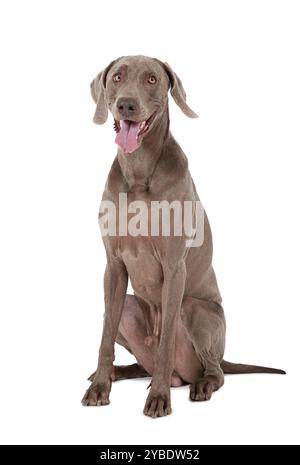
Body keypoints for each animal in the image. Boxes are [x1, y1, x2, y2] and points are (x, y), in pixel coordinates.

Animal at [81, 55, 284, 416]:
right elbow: (104, 338)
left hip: (196, 311)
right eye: (117, 77)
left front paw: (159, 398)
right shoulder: (113, 266)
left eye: (151, 79)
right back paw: (125, 372)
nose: (126, 104)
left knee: (213, 371)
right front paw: (100, 387)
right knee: (134, 347)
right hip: (128, 308)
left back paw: (198, 385)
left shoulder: (175, 267)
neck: (138, 172)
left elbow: (165, 344)